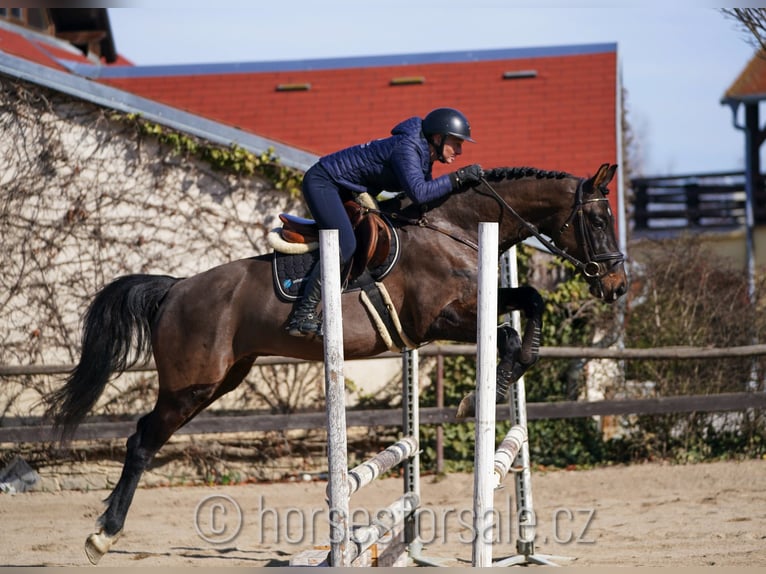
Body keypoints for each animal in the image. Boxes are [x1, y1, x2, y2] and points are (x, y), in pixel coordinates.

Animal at [45, 163, 628, 568]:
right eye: (598, 218)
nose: (617, 286)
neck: (454, 226)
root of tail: (176, 288)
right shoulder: (438, 319)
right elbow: (506, 332)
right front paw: (486, 390)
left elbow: (531, 300)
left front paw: (508, 375)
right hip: (192, 383)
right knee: (142, 440)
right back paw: (102, 535)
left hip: (222, 379)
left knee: (147, 435)